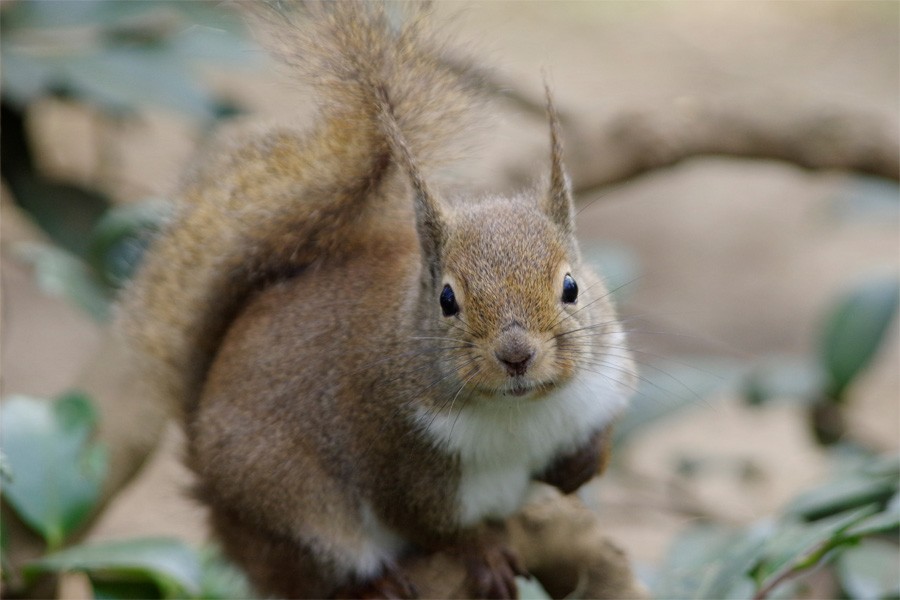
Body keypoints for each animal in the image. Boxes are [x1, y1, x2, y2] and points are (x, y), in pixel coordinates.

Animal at [119, 2, 636, 596]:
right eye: (446, 299)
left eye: (571, 287)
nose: (515, 355)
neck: (520, 409)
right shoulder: (397, 459)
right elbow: (430, 525)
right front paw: (479, 549)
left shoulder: (606, 378)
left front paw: (583, 463)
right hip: (291, 511)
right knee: (308, 573)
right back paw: (372, 583)